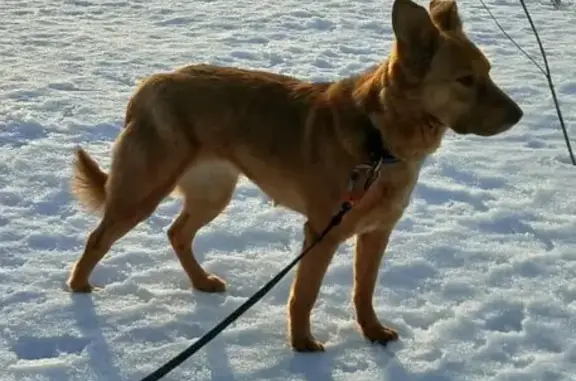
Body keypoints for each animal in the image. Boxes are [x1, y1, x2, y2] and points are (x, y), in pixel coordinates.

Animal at [66, 0, 520, 350]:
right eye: (465, 80)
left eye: (489, 71)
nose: (519, 115)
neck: (380, 144)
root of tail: (150, 83)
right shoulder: (321, 233)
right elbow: (305, 294)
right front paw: (302, 345)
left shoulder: (377, 234)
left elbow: (364, 291)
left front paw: (372, 332)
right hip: (142, 192)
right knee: (98, 238)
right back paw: (79, 290)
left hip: (213, 193)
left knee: (177, 234)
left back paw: (200, 282)